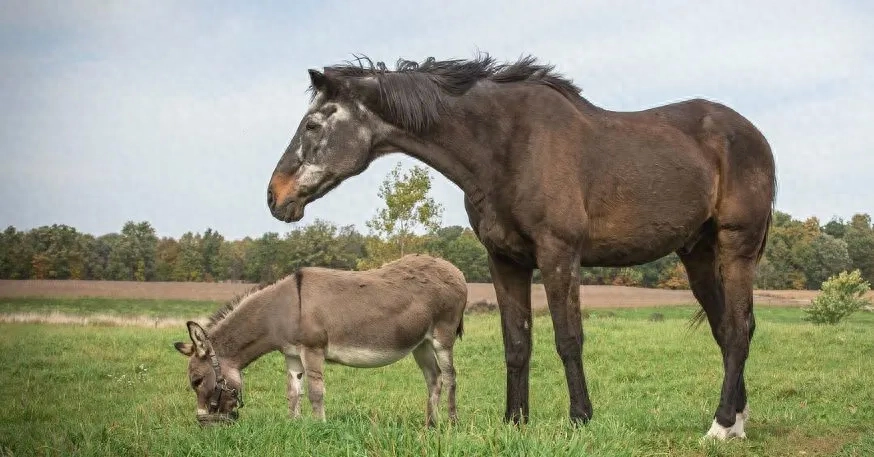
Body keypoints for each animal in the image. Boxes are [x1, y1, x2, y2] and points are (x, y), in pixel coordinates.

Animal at [173, 255, 466, 426]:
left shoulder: (311, 350)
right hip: (421, 344)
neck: (281, 309)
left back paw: (451, 423)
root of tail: (455, 269)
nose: (203, 425)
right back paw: (430, 425)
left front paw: (319, 426)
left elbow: (315, 391)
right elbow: (293, 392)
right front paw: (293, 425)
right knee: (434, 379)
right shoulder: (292, 354)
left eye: (196, 381)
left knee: (451, 377)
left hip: (442, 336)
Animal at [268, 55, 776, 440]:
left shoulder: (558, 255)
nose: (275, 196)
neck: (507, 144)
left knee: (738, 329)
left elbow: (568, 338)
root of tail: (753, 135)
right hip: (697, 253)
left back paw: (720, 426)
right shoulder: (505, 260)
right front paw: (514, 420)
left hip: (736, 246)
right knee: (726, 328)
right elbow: (516, 342)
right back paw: (738, 421)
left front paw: (580, 419)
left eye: (313, 124)